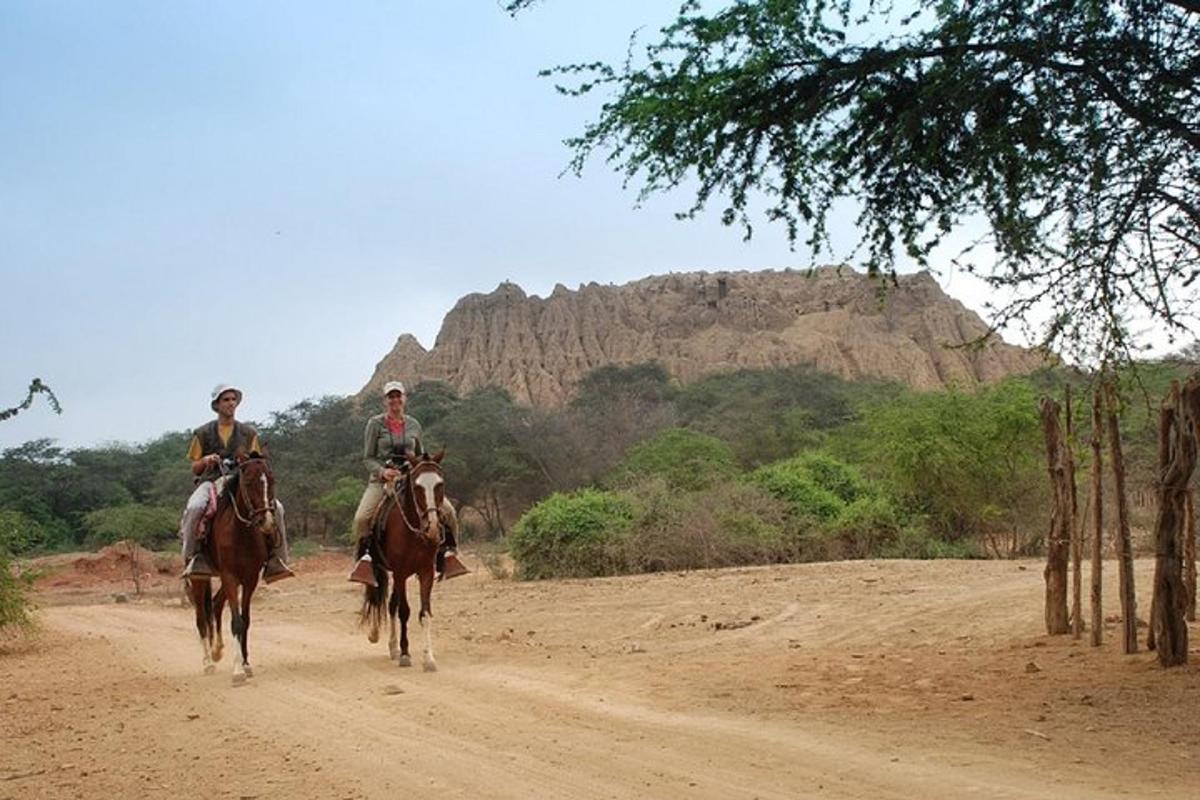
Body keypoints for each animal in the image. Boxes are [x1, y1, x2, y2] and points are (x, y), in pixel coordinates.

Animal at [188, 453, 277, 686]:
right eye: (249, 482)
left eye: (271, 481)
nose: (267, 522)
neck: (241, 533)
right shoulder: (229, 576)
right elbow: (236, 622)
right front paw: (237, 672)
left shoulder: (249, 579)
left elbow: (245, 621)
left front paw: (246, 665)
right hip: (200, 579)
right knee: (201, 618)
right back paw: (207, 662)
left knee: (216, 603)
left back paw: (217, 650)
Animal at [362, 450, 448, 671]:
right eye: (417, 487)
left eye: (440, 484)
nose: (432, 528)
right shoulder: (400, 572)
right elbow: (404, 611)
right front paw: (406, 654)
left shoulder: (426, 572)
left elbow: (424, 613)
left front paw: (428, 658)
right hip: (380, 569)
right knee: (377, 598)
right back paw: (376, 636)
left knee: (391, 603)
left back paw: (393, 647)